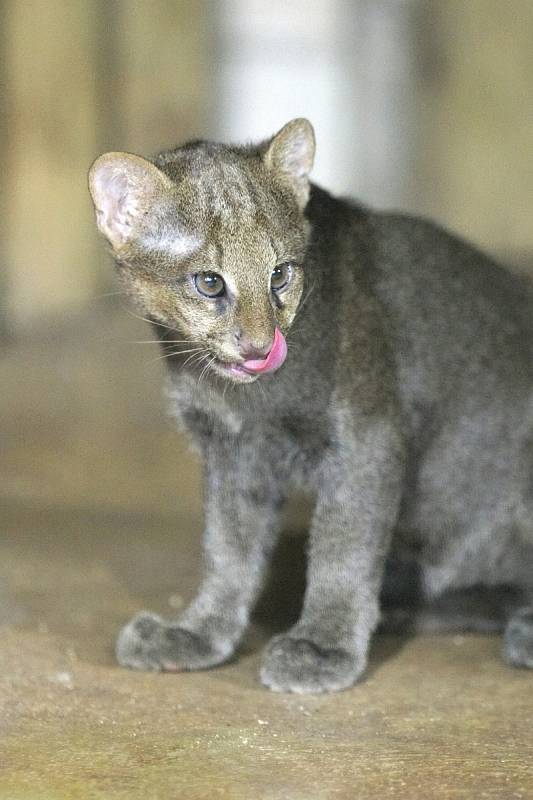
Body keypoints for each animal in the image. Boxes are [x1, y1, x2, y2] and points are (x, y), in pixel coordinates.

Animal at [89, 119, 532, 692]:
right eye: (209, 282)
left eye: (280, 274)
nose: (260, 347)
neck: (245, 400)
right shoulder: (234, 452)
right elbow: (228, 546)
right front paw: (199, 631)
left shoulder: (365, 437)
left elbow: (342, 546)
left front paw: (323, 646)